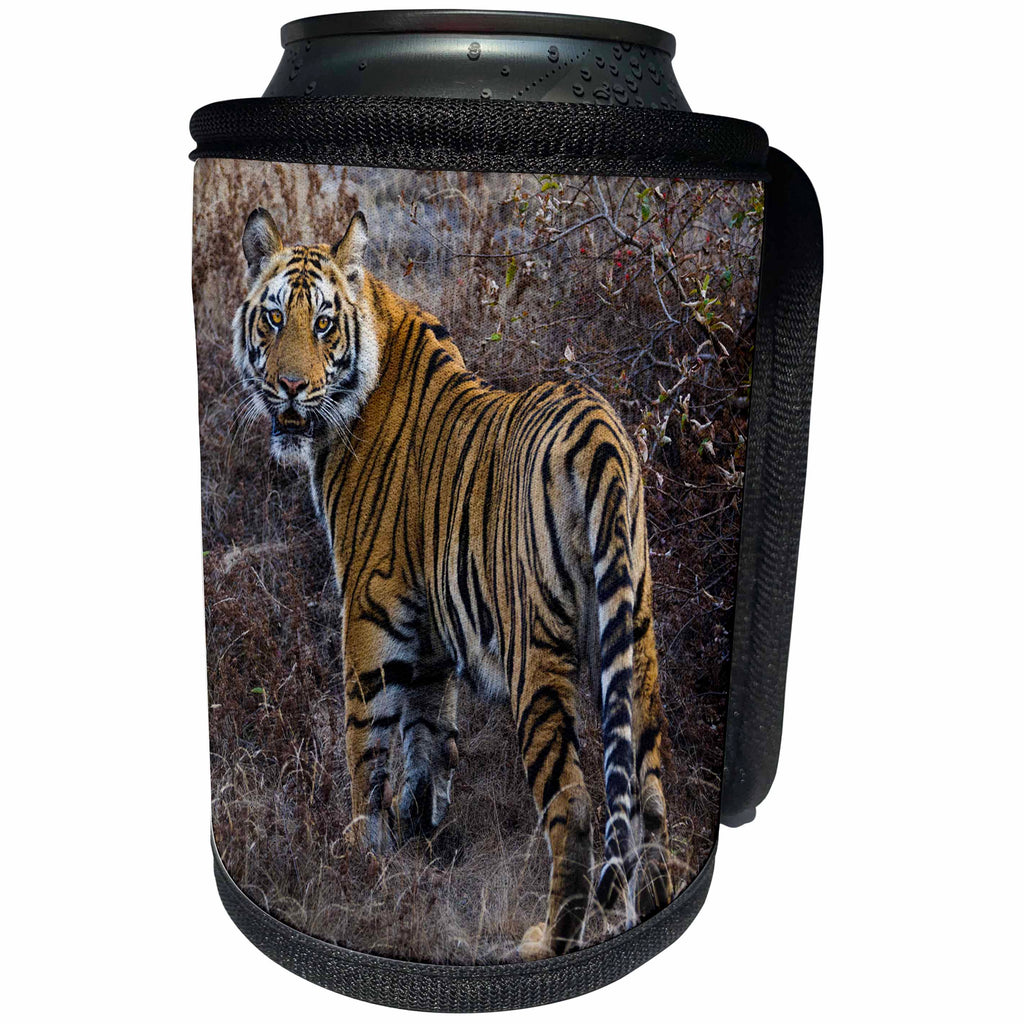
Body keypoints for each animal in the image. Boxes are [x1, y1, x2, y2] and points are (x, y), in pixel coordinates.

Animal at [232, 205, 674, 957]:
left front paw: (361, 856)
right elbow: (427, 740)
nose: (289, 386)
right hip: (635, 641)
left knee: (575, 803)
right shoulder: (430, 633)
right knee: (649, 798)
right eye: (273, 318)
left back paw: (549, 942)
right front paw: (419, 841)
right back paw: (655, 912)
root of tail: (598, 432)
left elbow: (368, 743)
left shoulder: (368, 612)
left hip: (537, 654)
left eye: (322, 324)